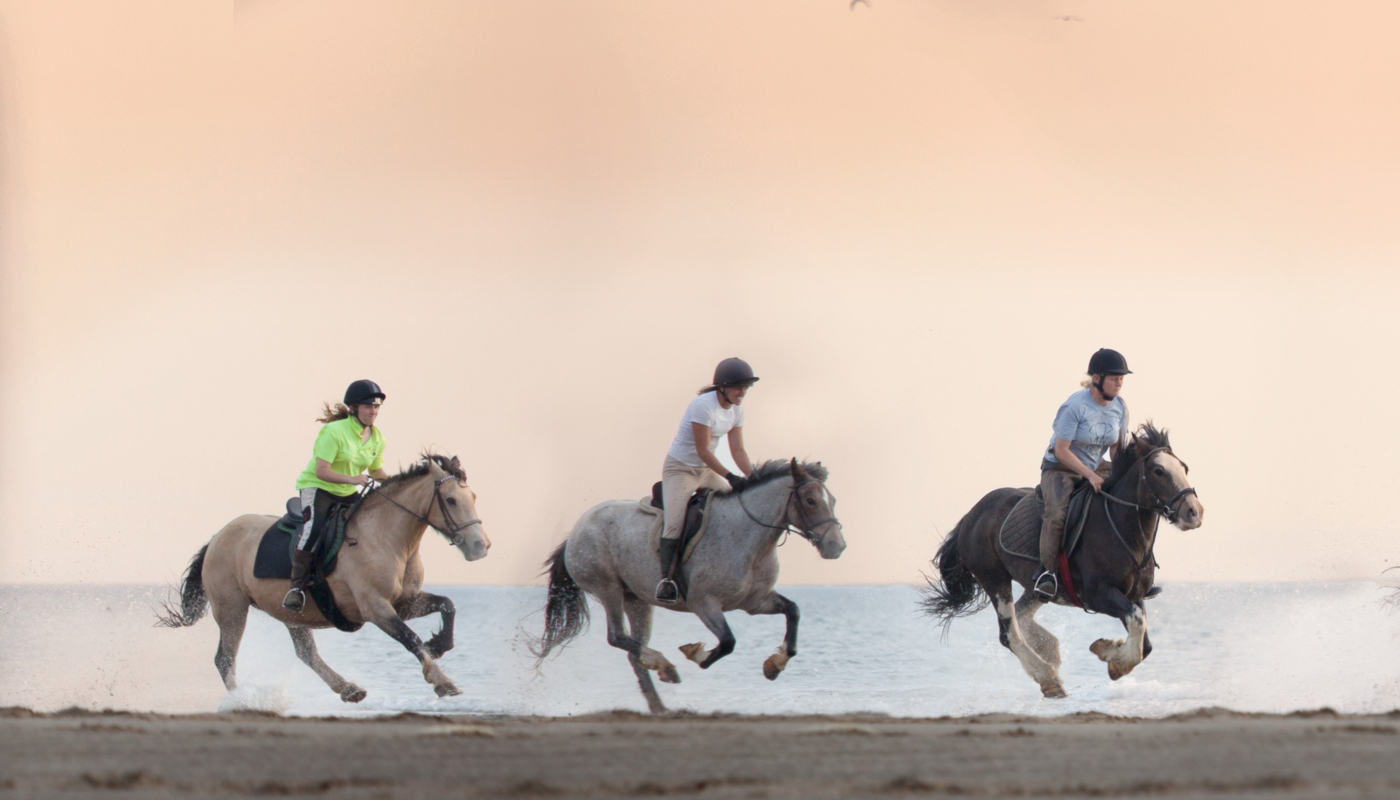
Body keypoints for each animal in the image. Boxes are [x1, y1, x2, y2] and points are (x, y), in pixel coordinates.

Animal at [156, 456, 487, 700]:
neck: (388, 538)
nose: (480, 546)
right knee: (225, 659)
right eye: (451, 500)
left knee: (306, 654)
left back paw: (349, 689)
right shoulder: (375, 608)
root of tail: (217, 537)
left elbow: (447, 605)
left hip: (292, 614)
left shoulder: (405, 602)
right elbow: (410, 638)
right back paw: (241, 701)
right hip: (232, 609)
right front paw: (442, 681)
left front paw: (439, 644)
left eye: (472, 496)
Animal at [532, 459, 840, 717]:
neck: (751, 539)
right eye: (811, 501)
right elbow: (727, 642)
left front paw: (775, 664)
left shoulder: (755, 602)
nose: (837, 546)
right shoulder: (704, 604)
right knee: (617, 637)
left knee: (633, 651)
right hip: (609, 589)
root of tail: (576, 531)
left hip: (637, 600)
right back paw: (665, 667)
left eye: (833, 500)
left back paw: (660, 704)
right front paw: (697, 654)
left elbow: (793, 611)